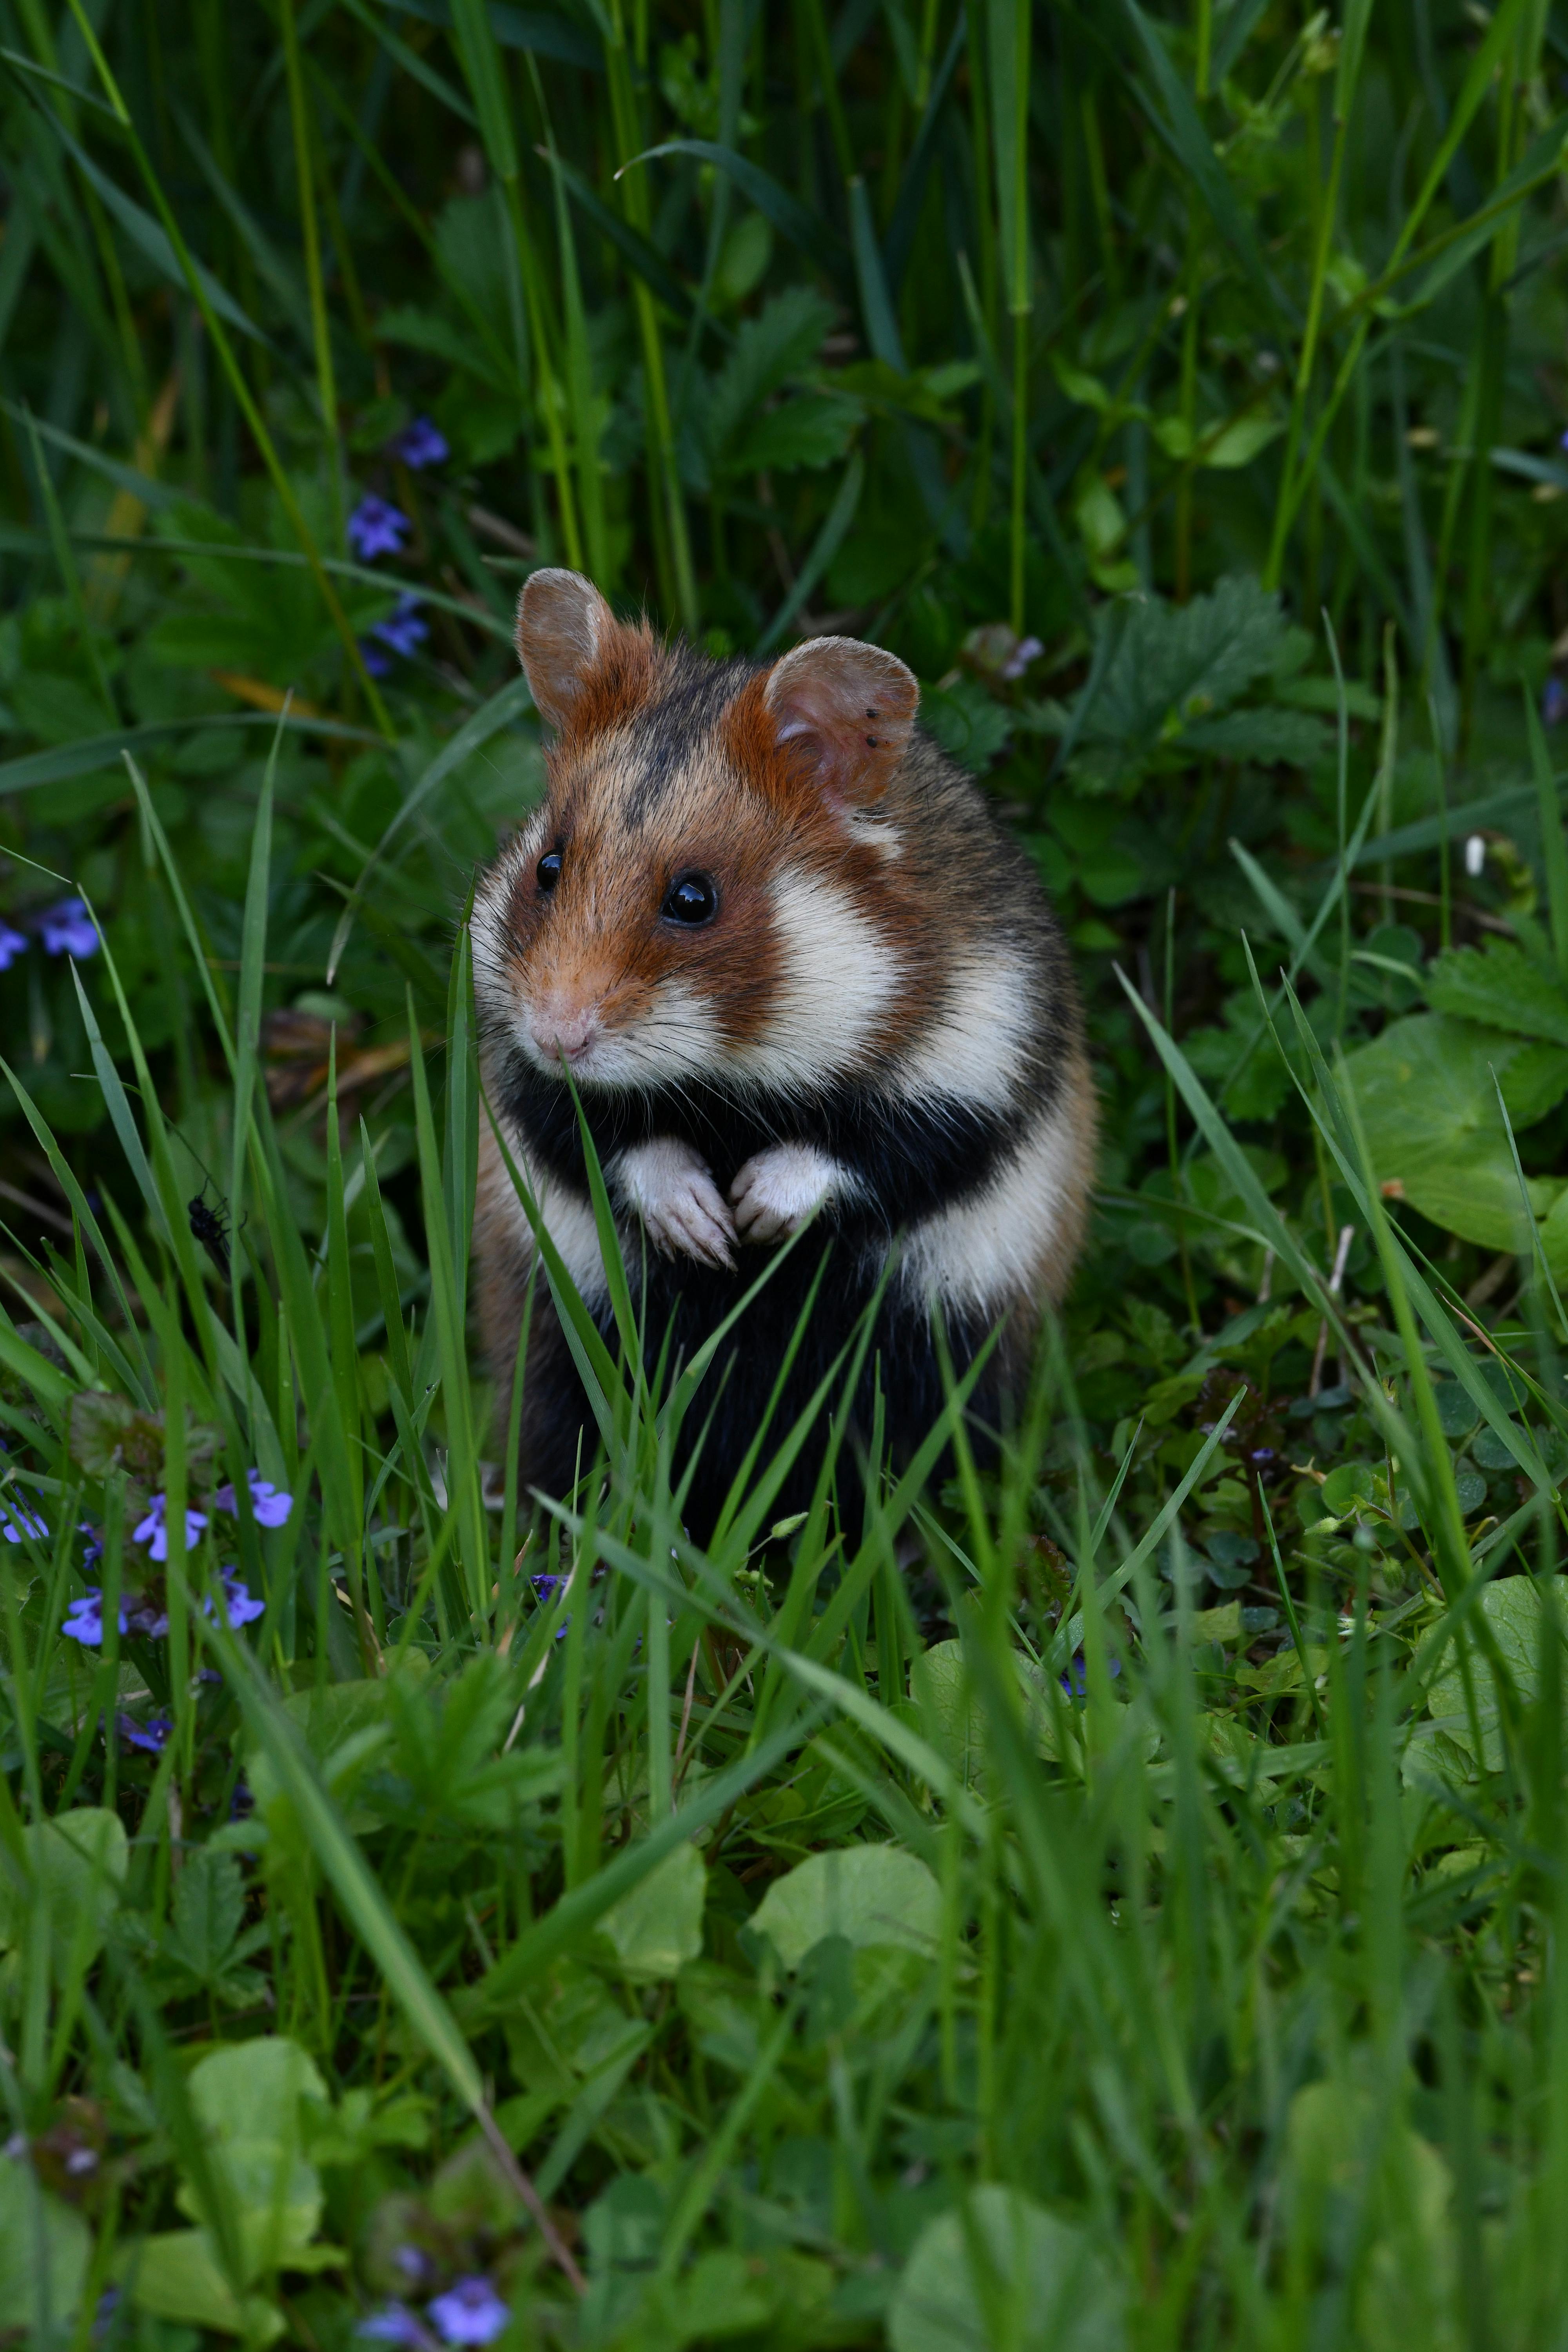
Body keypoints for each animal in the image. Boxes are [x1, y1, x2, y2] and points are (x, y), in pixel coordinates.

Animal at [472, 562, 1100, 1534]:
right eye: (547, 867)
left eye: (693, 899)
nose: (556, 1033)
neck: (735, 1071)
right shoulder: (521, 1079)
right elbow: (603, 1137)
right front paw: (705, 1230)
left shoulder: (981, 1063)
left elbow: (867, 1151)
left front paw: (753, 1217)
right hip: (556, 1345)